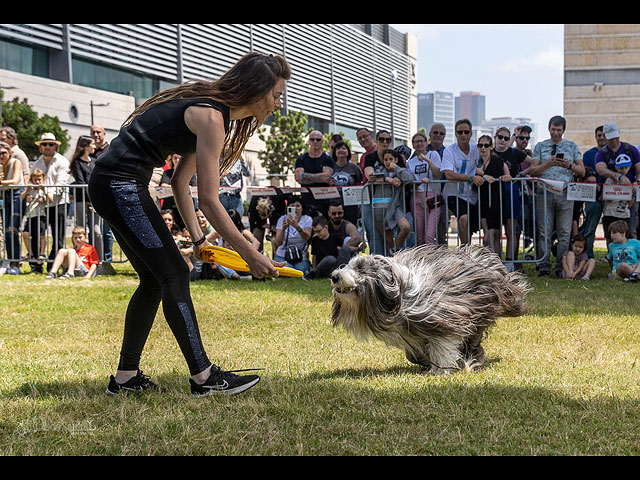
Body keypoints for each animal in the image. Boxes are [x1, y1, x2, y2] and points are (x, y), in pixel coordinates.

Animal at [330, 246, 528, 374]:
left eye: (360, 269)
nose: (334, 276)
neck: (398, 296)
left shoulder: (445, 316)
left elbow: (443, 344)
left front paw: (441, 369)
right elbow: (415, 352)